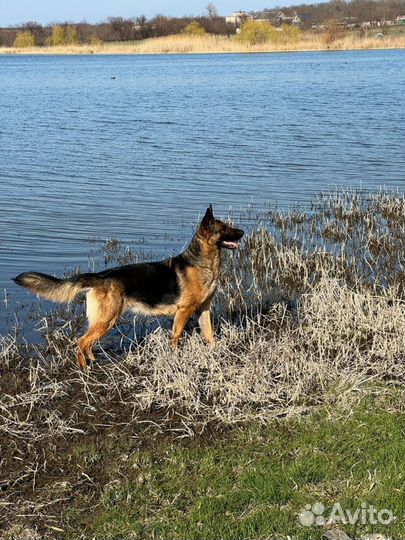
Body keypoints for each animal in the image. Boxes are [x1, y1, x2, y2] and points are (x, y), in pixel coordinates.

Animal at [13, 206, 243, 368]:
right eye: (224, 229)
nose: (242, 231)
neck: (202, 262)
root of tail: (100, 276)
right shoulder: (183, 312)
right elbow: (176, 337)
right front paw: (175, 357)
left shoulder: (203, 309)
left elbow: (210, 336)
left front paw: (216, 354)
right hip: (107, 320)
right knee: (80, 342)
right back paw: (83, 368)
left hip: (102, 320)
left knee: (87, 343)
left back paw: (92, 361)